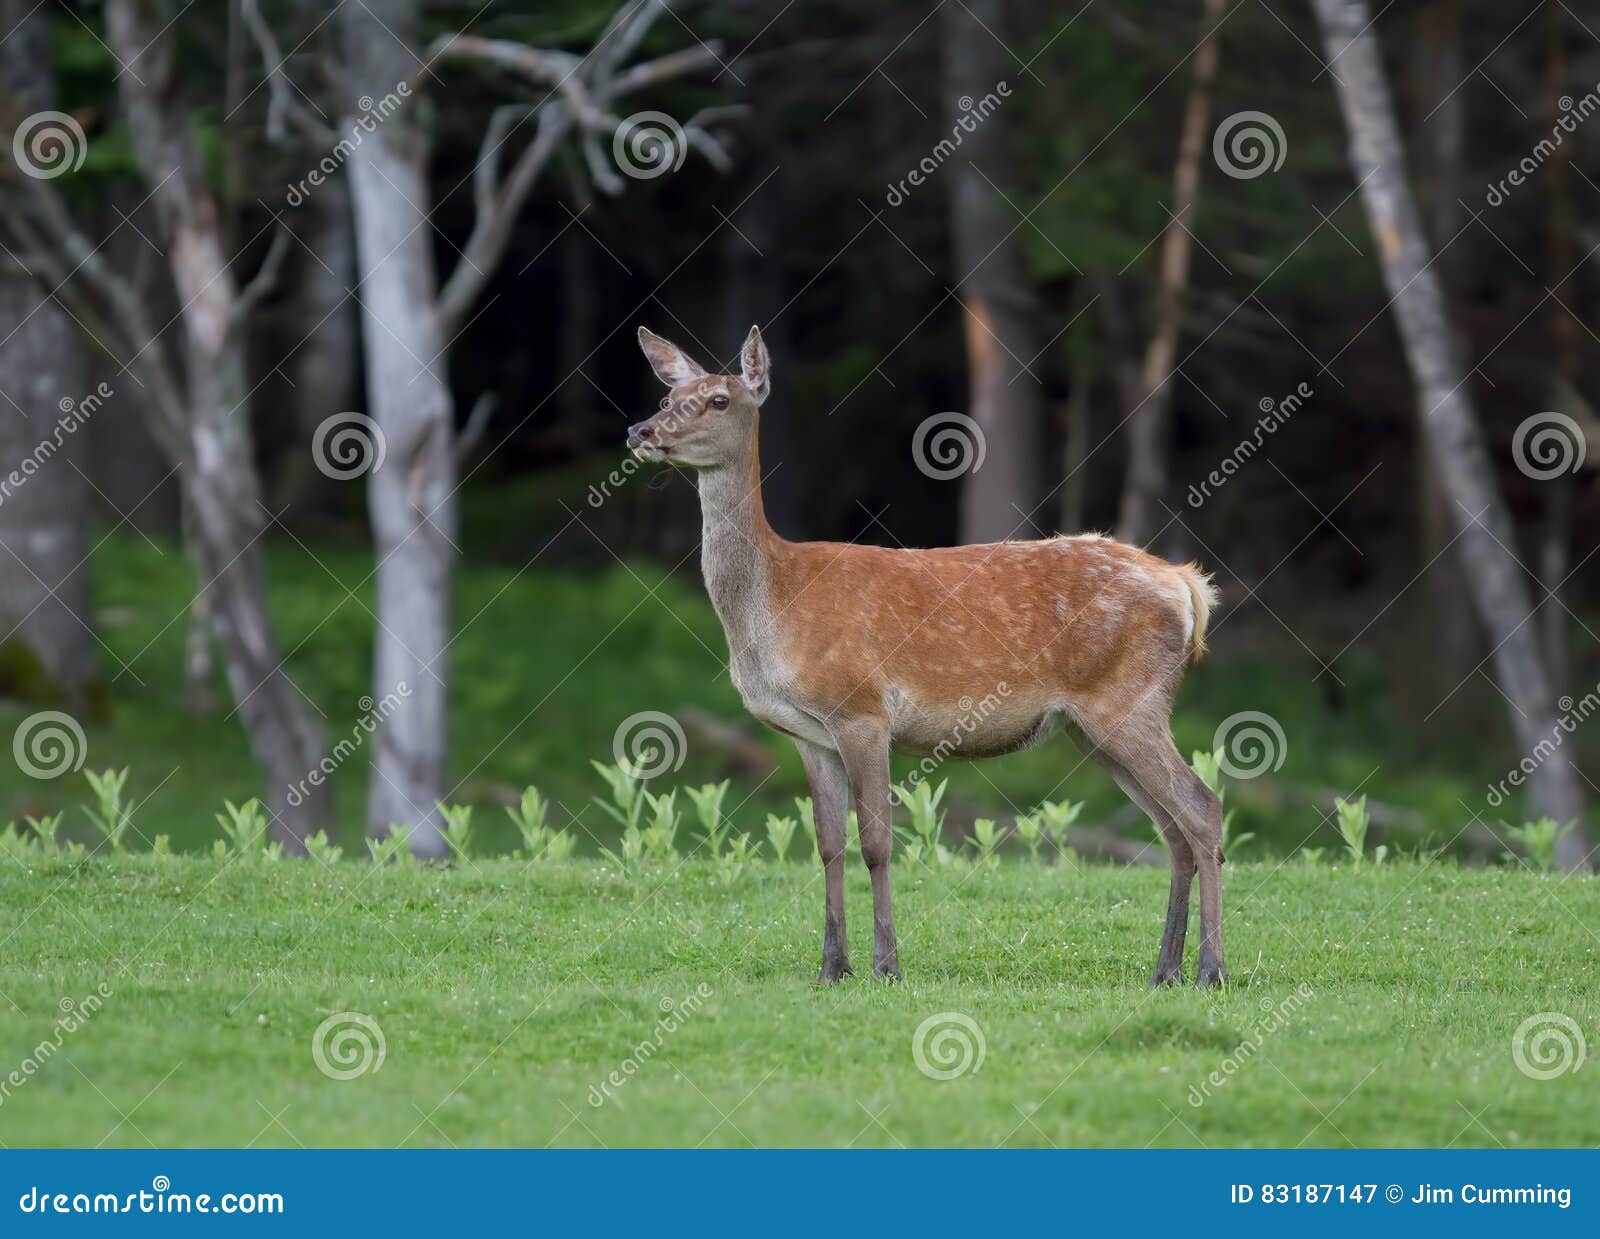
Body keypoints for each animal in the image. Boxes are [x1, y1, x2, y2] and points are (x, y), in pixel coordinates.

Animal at [627, 324, 1228, 988]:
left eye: (719, 400)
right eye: (669, 393)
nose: (641, 431)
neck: (775, 605)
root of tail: (1187, 586)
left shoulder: (862, 710)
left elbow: (876, 843)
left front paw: (886, 965)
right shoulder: (807, 733)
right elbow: (828, 845)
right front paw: (831, 967)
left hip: (1128, 698)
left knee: (1202, 808)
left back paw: (1211, 971)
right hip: (1092, 725)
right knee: (1171, 827)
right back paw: (1165, 971)